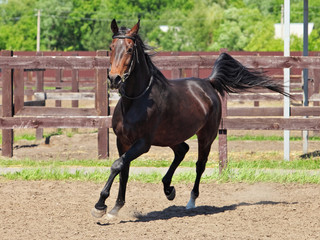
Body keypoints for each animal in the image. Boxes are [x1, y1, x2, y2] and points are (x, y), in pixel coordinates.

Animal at [91, 19, 288, 218]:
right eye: (111, 47)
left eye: (130, 49)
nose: (114, 79)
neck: (135, 101)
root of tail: (208, 82)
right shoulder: (122, 141)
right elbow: (124, 170)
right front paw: (115, 207)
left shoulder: (143, 144)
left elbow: (117, 165)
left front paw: (100, 205)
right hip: (171, 136)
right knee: (182, 150)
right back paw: (168, 189)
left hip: (206, 136)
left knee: (200, 164)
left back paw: (191, 201)